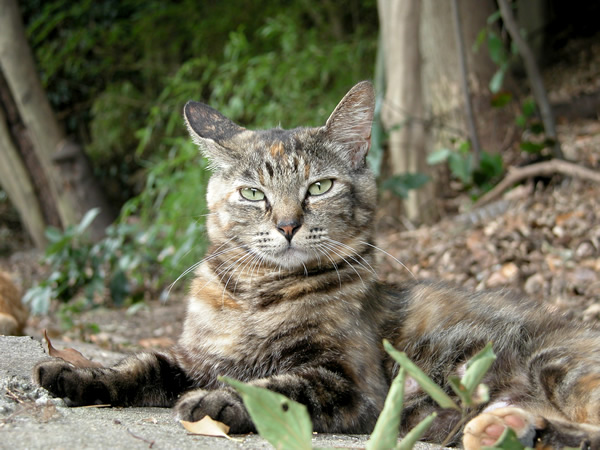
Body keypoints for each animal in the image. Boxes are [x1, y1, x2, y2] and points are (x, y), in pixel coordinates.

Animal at [35, 81, 600, 450]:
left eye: (320, 187)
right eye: (252, 194)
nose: (287, 224)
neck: (259, 293)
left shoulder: (352, 383)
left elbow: (283, 388)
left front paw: (219, 402)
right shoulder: (199, 357)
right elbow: (143, 364)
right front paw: (77, 373)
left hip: (559, 367)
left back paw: (521, 429)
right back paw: (510, 428)